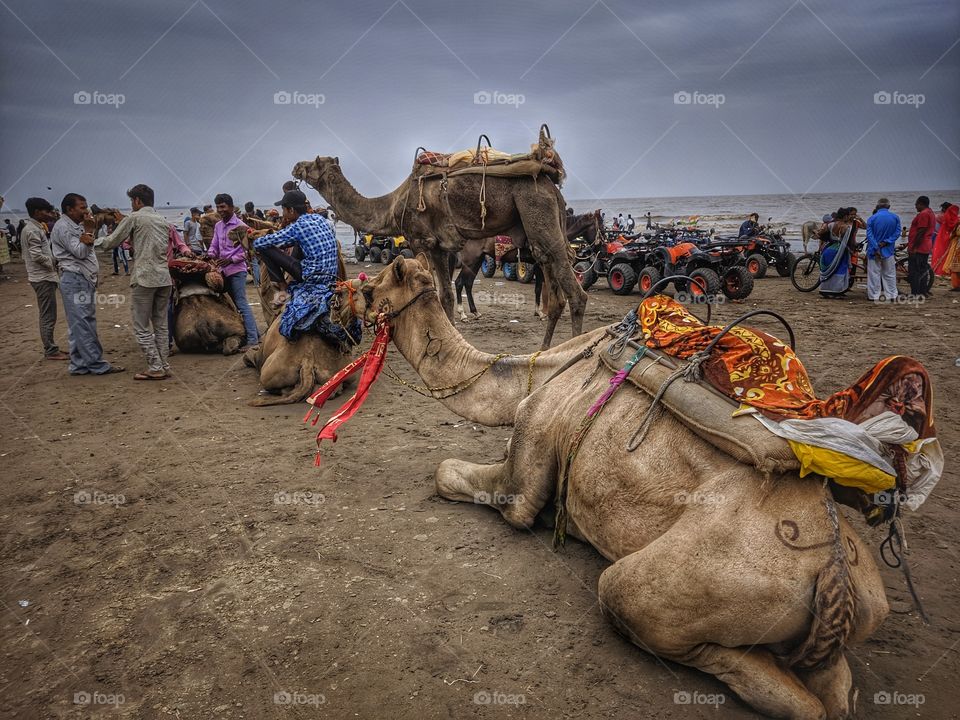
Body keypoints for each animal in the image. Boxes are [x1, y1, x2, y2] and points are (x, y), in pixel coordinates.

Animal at [292, 156, 584, 350]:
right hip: (540, 229)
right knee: (556, 293)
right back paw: (546, 350)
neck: (392, 205)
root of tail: (552, 186)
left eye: (314, 163)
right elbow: (446, 295)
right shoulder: (441, 246)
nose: (296, 166)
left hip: (536, 210)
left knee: (576, 294)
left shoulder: (422, 241)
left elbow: (433, 292)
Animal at [332, 258, 900, 720]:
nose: (337, 300)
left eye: (370, 285)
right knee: (836, 690)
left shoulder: (527, 456)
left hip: (693, 580)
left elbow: (454, 474)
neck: (538, 374)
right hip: (857, 613)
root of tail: (834, 565)